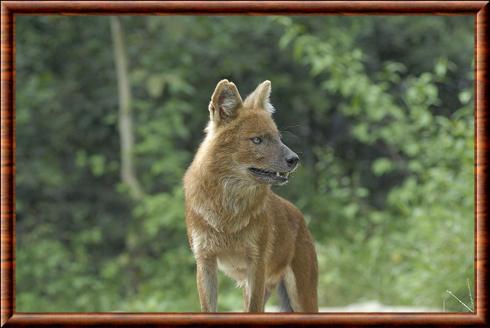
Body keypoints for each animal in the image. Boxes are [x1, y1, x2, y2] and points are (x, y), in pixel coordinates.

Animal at [184, 79, 318, 312]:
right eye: (257, 140)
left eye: (278, 138)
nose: (295, 159)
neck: (228, 211)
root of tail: (299, 216)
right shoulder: (205, 261)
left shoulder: (256, 263)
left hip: (302, 295)